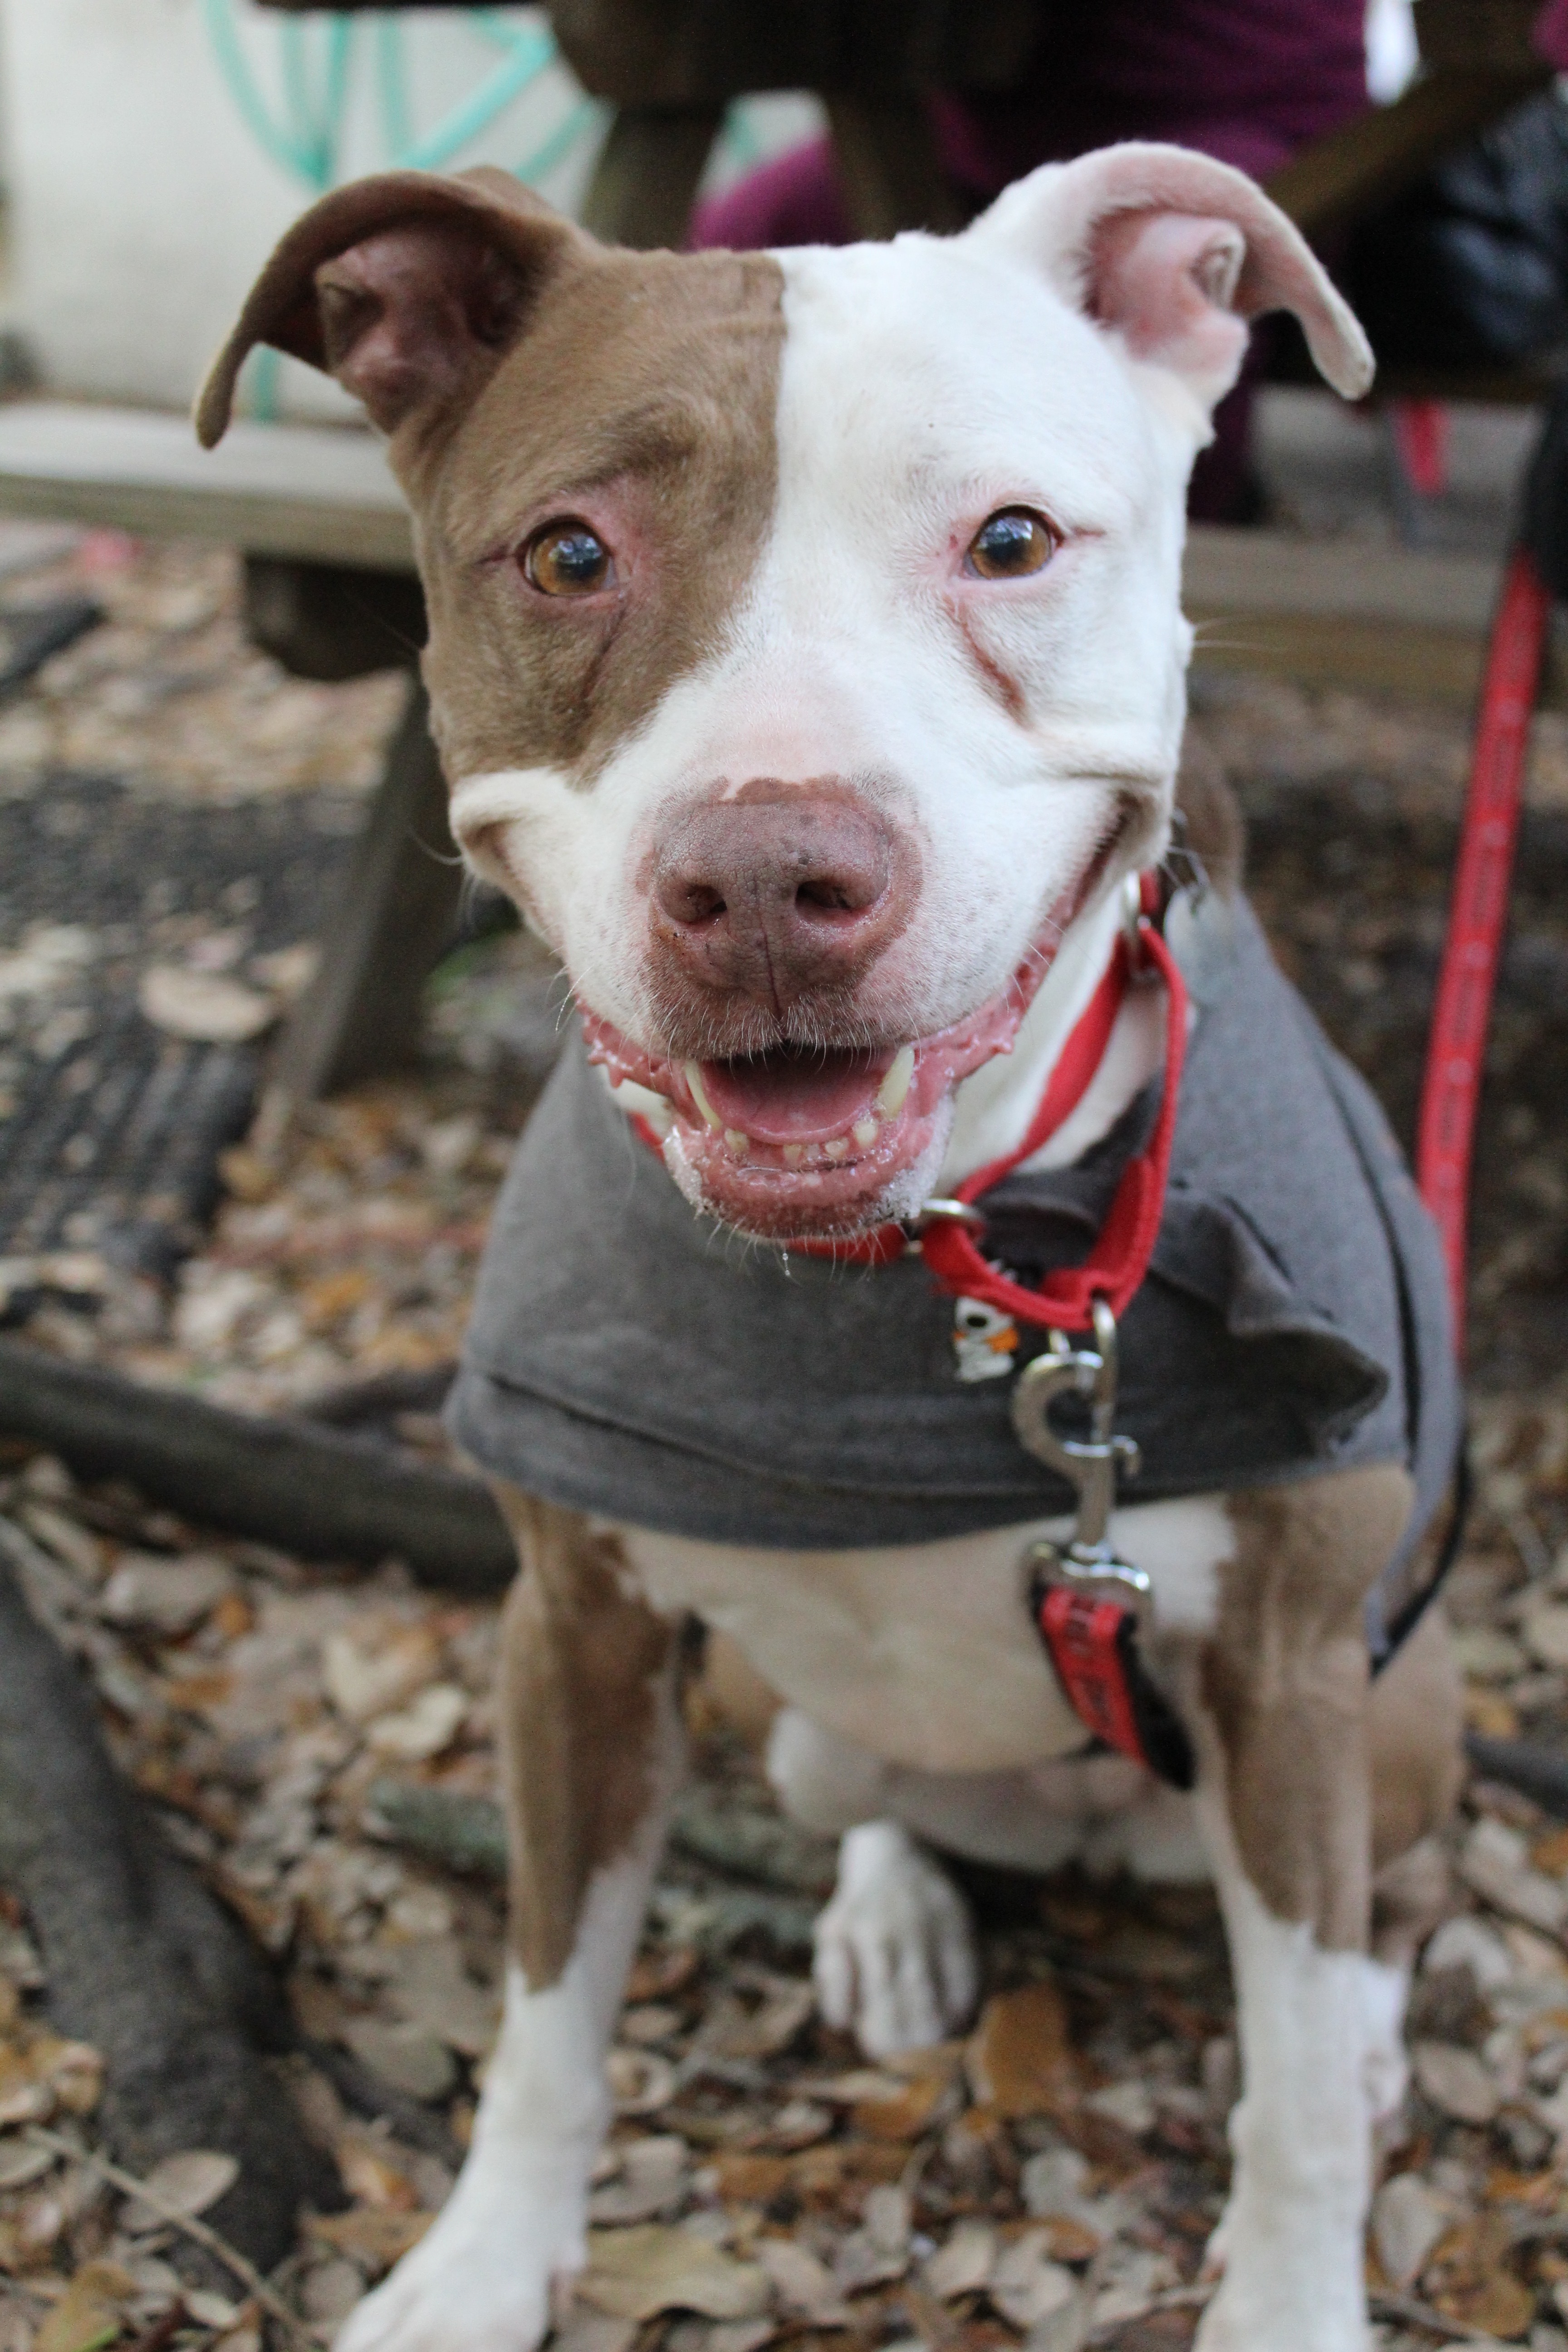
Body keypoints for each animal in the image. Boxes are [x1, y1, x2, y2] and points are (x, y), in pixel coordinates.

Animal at [200, 144, 1467, 2352]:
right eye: (566, 553)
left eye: (1012, 539)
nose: (771, 877)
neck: (933, 1265)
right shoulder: (573, 1629)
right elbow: (548, 2006)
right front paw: (480, 2262)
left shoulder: (1300, 1668)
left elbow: (1296, 2094)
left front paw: (1294, 2292)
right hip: (771, 1717)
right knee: (870, 1781)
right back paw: (888, 1908)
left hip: (1394, 1714)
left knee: (1364, 1929)